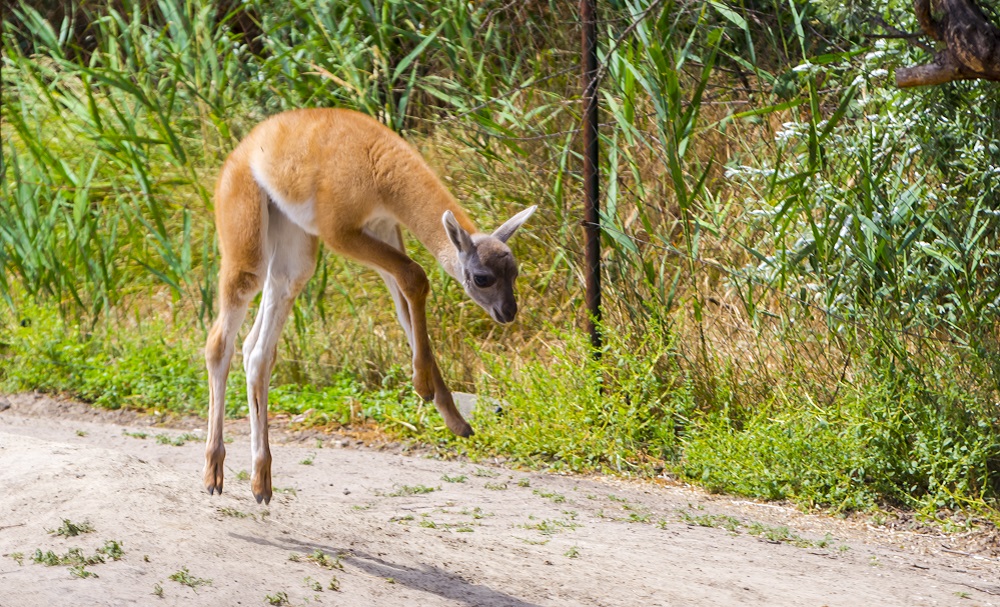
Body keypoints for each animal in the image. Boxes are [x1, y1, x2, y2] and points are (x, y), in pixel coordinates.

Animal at [199, 108, 536, 504]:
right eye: (483, 278)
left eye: (515, 272)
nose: (508, 312)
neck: (379, 169)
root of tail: (245, 146)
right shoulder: (340, 230)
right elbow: (415, 275)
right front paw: (423, 387)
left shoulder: (384, 225)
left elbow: (404, 301)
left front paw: (452, 415)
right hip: (247, 230)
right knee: (220, 341)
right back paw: (213, 471)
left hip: (295, 247)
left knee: (258, 351)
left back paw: (261, 480)